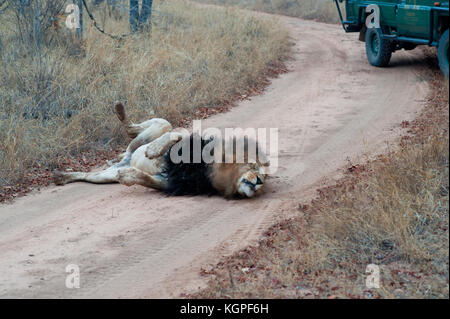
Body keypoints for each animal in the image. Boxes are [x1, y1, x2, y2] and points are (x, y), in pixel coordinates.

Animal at [54, 102, 268, 199]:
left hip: (105, 176)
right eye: (253, 165)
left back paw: (63, 176)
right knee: (138, 128)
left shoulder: (169, 182)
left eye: (264, 180)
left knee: (87, 175)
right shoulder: (192, 146)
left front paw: (128, 175)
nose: (258, 181)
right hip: (157, 127)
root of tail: (126, 156)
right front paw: (153, 151)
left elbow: (144, 178)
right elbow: (176, 136)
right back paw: (120, 110)